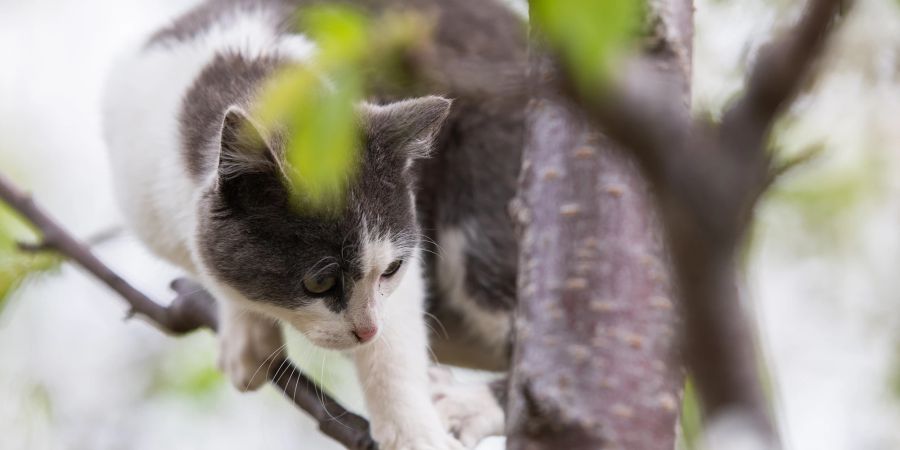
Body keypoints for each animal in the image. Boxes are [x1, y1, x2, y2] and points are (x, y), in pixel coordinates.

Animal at [102, 1, 524, 448]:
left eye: (391, 269)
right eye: (319, 282)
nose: (367, 331)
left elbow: (397, 335)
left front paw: (415, 432)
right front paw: (245, 332)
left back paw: (466, 404)